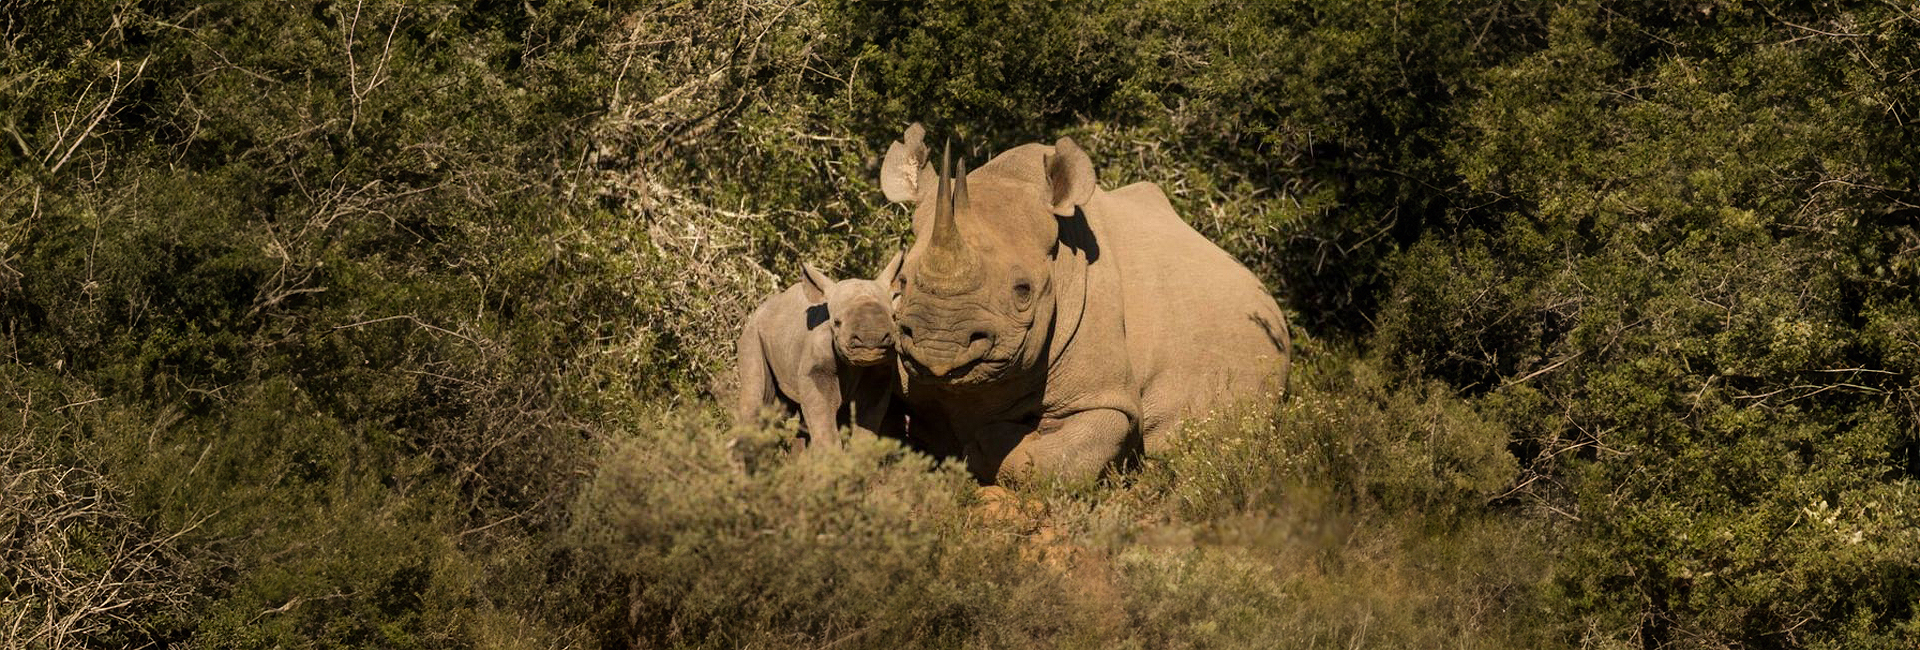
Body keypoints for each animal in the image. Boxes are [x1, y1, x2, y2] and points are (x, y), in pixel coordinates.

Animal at [735, 254, 905, 450]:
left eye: (894, 317)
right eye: (837, 322)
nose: (871, 340)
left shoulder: (880, 372)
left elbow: (868, 419)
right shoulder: (817, 371)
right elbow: (823, 414)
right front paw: (831, 456)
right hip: (752, 332)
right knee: (756, 397)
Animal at [879, 124, 1291, 485]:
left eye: (1023, 291)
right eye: (902, 281)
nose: (938, 345)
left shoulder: (1108, 399)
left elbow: (1059, 458)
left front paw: (982, 445)